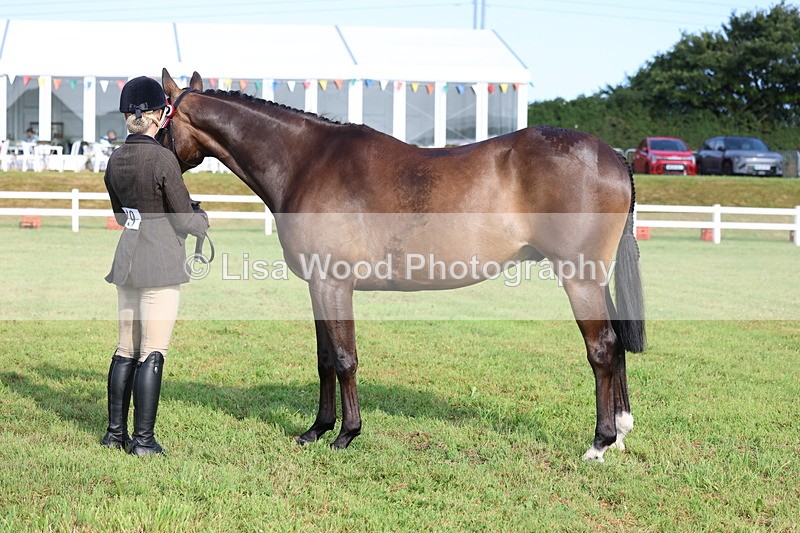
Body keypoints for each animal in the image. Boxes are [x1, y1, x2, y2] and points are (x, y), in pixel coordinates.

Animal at [160, 69, 645, 462]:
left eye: (158, 123)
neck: (305, 163)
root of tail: (614, 156)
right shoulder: (317, 285)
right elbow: (323, 359)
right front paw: (316, 430)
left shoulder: (333, 283)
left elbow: (345, 358)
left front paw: (347, 435)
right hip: (594, 279)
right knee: (617, 343)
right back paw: (620, 433)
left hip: (579, 278)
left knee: (602, 348)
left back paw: (599, 443)